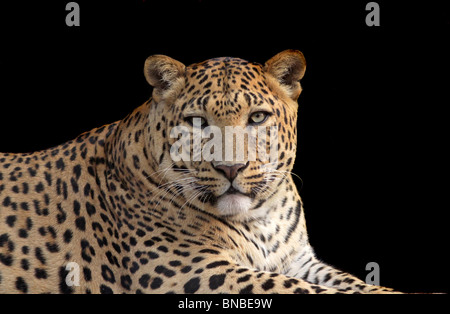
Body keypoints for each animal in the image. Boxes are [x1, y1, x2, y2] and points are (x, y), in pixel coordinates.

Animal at [0, 50, 400, 294]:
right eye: (196, 122)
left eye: (258, 117)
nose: (230, 168)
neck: (260, 217)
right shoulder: (195, 271)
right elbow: (300, 290)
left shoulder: (298, 260)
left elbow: (351, 284)